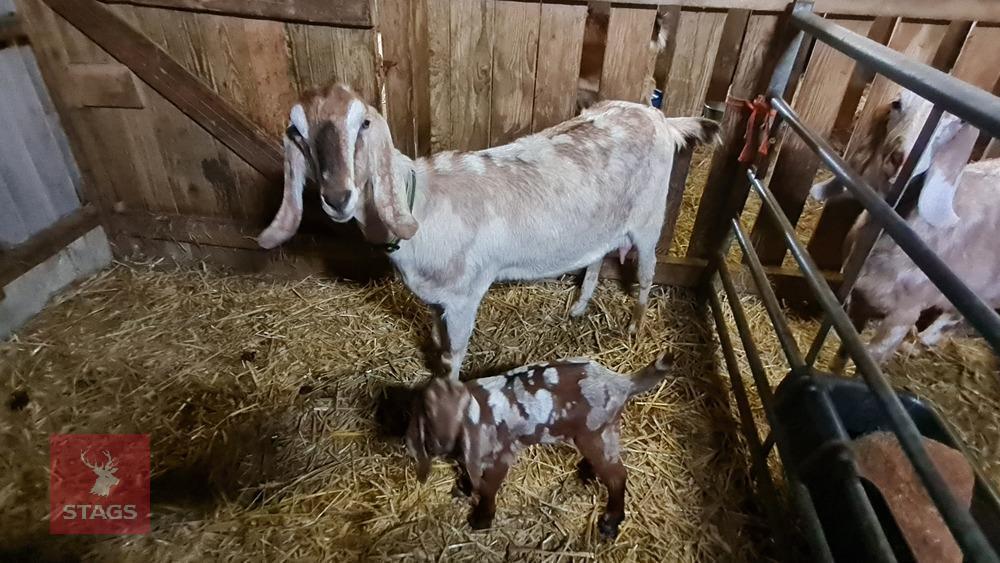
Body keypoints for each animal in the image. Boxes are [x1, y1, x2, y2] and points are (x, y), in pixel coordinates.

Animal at [257, 83, 718, 380]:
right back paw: (579, 307)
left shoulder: (465, 295)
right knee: (597, 256)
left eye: (363, 124)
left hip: (649, 217)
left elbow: (456, 353)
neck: (420, 201)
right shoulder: (436, 299)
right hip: (606, 220)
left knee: (647, 274)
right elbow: (439, 343)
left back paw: (635, 327)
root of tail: (658, 116)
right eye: (297, 132)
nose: (337, 196)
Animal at [404, 353, 674, 539]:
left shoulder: (501, 456)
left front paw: (481, 520)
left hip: (595, 431)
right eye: (427, 413)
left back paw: (609, 523)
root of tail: (621, 383)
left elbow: (489, 488)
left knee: (617, 475)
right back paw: (587, 473)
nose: (440, 445)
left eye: (461, 413)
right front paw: (465, 488)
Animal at [810, 90, 1000, 367]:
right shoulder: (858, 298)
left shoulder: (903, 314)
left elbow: (872, 359)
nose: (900, 157)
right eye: (896, 104)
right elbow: (846, 352)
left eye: (950, 122)